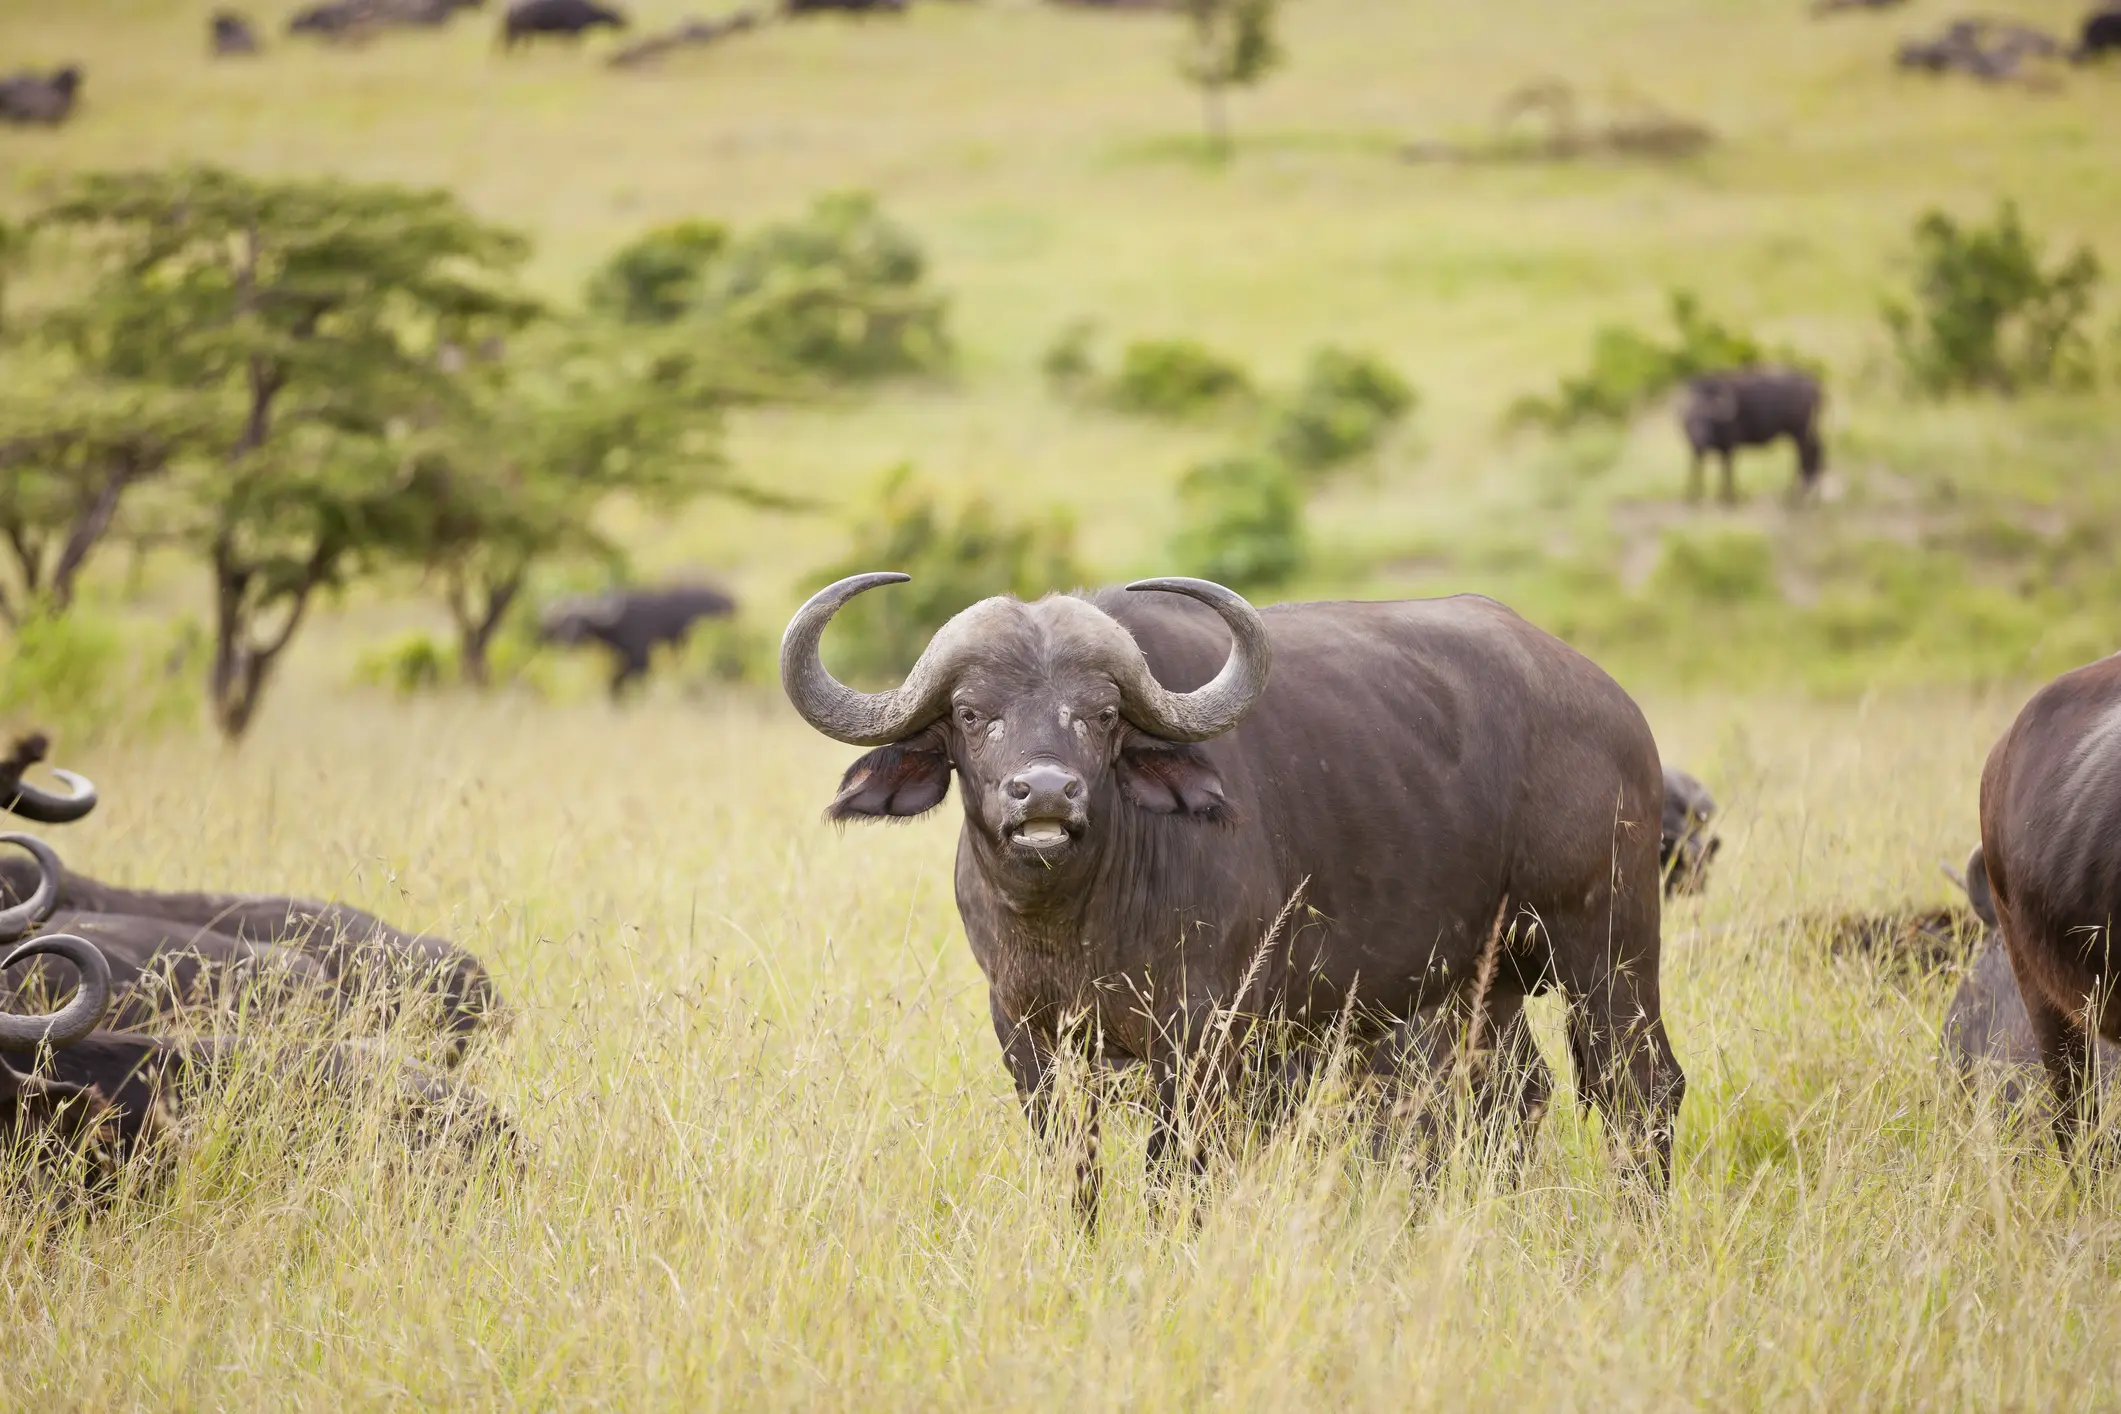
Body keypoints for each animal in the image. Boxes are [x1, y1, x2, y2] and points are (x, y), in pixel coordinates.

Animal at [783, 573, 1684, 1216]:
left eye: (1100, 713)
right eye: (972, 713)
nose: (1043, 794)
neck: (1078, 918)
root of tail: (1610, 706)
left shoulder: (1200, 1034)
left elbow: (1172, 1171)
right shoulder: (1025, 1031)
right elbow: (1073, 1167)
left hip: (1606, 948)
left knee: (1641, 1088)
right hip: (1478, 983)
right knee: (1511, 1098)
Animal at [1679, 368, 1825, 505]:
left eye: (1706, 418)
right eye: (1690, 419)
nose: (1698, 438)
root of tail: (1814, 385)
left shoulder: (1729, 448)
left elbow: (1727, 472)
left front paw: (1728, 498)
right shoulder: (1698, 451)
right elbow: (1697, 470)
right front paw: (1693, 497)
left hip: (1800, 431)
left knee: (1807, 452)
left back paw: (1799, 491)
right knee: (1815, 450)